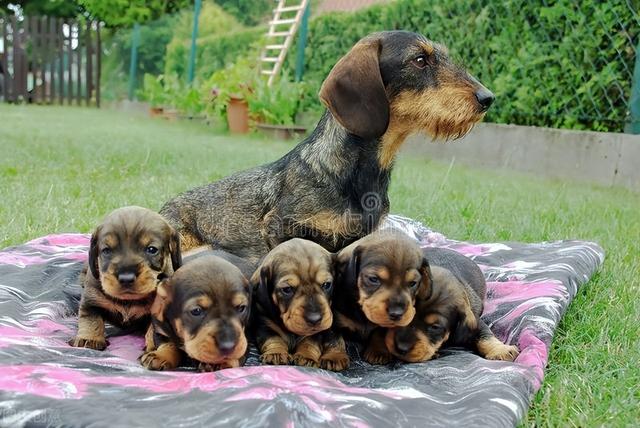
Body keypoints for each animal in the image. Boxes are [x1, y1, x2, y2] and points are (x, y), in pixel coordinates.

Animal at [68, 206, 180, 352]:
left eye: (152, 249)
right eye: (106, 250)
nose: (126, 278)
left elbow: (154, 329)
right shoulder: (91, 300)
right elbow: (90, 319)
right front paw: (89, 338)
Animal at [251, 237, 350, 372]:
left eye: (326, 284)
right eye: (287, 289)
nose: (315, 319)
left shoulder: (317, 331)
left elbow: (309, 343)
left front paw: (306, 356)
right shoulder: (264, 324)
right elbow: (273, 338)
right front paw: (276, 352)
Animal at [330, 231, 430, 364]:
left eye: (413, 283)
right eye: (373, 279)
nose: (397, 313)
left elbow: (380, 333)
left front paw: (378, 351)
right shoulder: (335, 321)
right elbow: (334, 339)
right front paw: (335, 357)